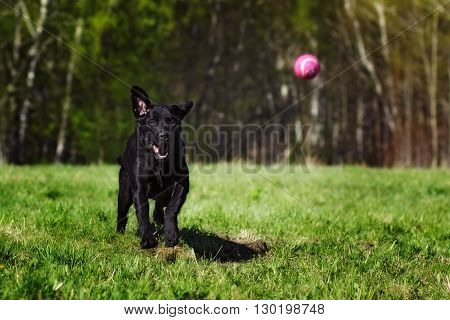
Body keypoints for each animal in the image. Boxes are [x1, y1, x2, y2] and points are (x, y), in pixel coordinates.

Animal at [116, 86, 192, 249]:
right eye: (151, 122)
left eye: (171, 121)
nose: (164, 135)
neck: (159, 164)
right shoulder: (140, 187)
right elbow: (143, 213)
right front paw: (148, 240)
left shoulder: (182, 182)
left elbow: (172, 208)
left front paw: (171, 234)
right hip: (125, 192)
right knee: (122, 213)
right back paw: (119, 233)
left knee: (161, 204)